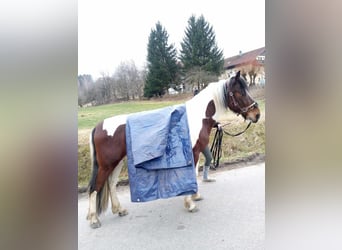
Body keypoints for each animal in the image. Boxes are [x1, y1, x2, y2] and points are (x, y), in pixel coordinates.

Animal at [85, 71, 260, 229]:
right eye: (240, 92)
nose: (256, 114)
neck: (196, 117)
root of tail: (98, 126)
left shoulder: (195, 152)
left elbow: (195, 173)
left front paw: (195, 196)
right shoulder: (193, 152)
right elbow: (191, 174)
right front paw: (190, 203)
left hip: (117, 162)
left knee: (111, 184)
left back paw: (119, 209)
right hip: (107, 165)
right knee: (94, 188)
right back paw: (94, 219)